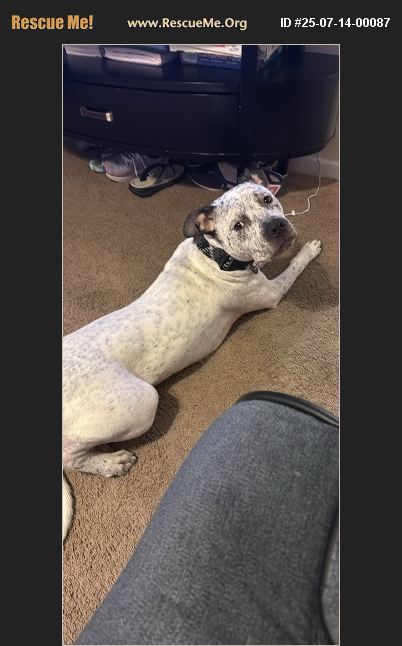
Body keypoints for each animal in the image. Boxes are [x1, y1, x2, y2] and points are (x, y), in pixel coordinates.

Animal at [63, 182, 322, 540]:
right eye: (238, 226)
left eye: (266, 199)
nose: (276, 226)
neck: (214, 254)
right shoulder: (271, 293)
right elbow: (293, 267)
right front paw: (309, 249)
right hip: (143, 401)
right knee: (69, 455)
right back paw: (110, 463)